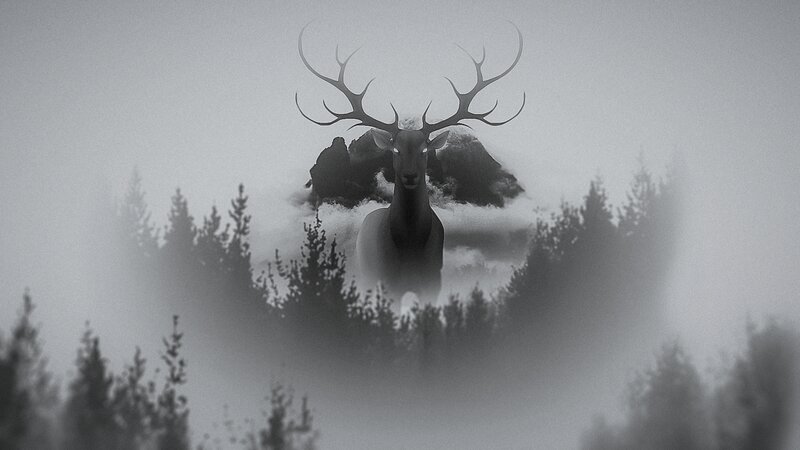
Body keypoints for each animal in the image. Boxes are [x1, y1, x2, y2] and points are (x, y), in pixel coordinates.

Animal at [295, 23, 525, 310]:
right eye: (395, 149)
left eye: (425, 149)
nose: (410, 175)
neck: (411, 247)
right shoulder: (387, 282)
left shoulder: (433, 282)